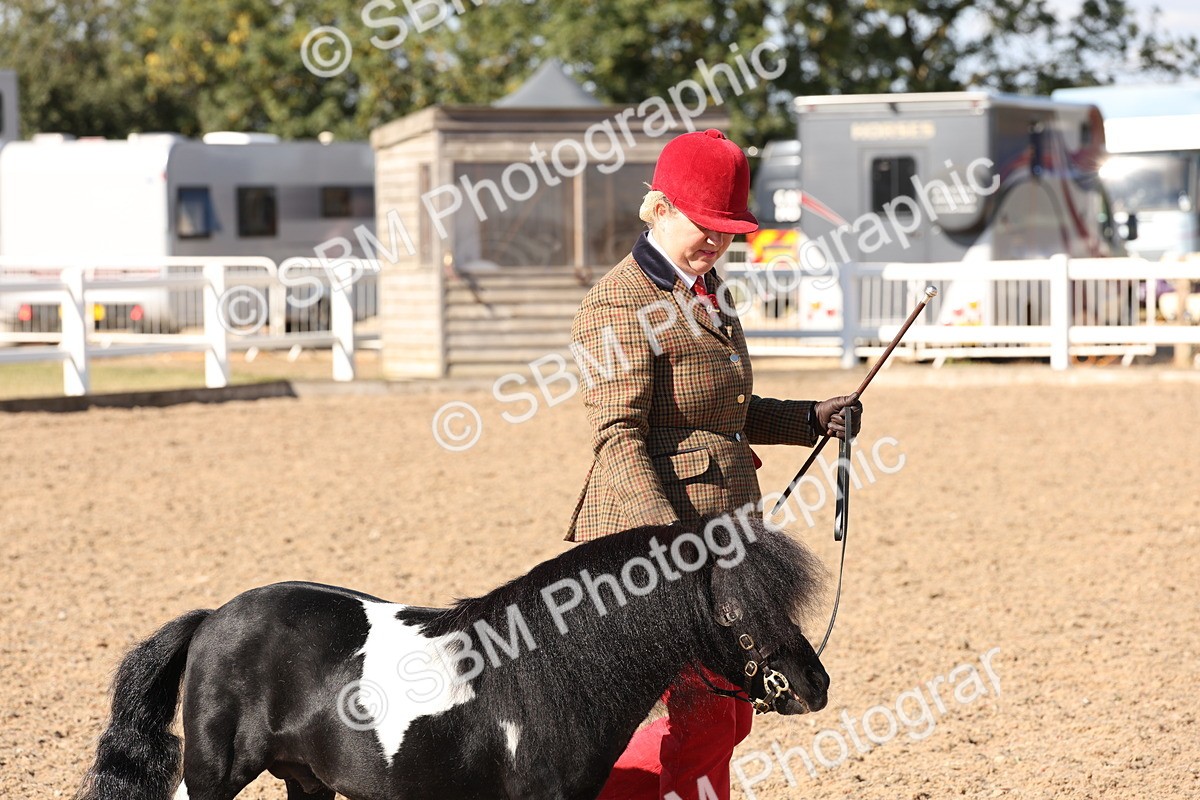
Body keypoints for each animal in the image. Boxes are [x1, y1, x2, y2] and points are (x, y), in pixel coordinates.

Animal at [75, 514, 829, 800]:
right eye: (735, 613)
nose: (813, 683)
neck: (552, 673)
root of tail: (211, 620)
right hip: (214, 775)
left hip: (305, 778)